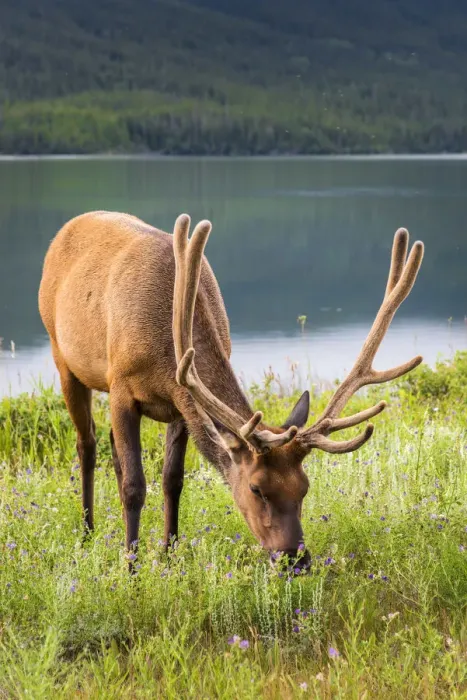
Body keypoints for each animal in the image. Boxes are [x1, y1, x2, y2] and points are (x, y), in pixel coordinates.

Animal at [39, 211, 424, 571]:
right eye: (256, 488)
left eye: (304, 487)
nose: (295, 559)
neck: (165, 347)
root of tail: (69, 227)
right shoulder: (121, 388)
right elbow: (134, 487)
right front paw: (131, 569)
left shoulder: (182, 400)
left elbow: (172, 479)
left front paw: (169, 556)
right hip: (63, 356)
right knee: (87, 443)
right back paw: (87, 533)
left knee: (112, 450)